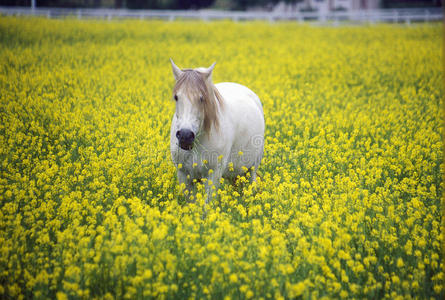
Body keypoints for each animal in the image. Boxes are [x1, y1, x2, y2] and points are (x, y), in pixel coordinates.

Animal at [168, 58, 262, 204]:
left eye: (202, 98)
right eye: (176, 97)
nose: (185, 136)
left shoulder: (213, 174)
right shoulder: (183, 174)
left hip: (251, 168)